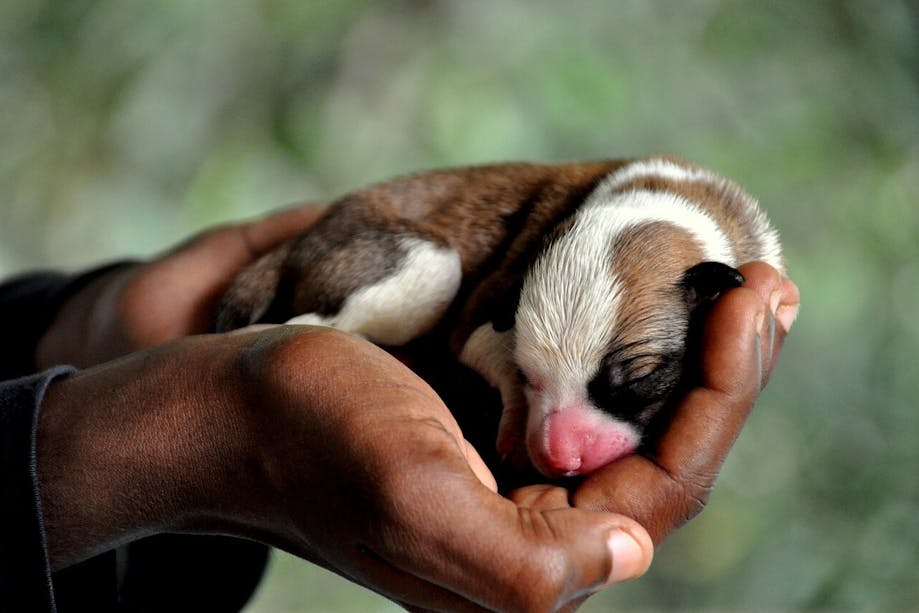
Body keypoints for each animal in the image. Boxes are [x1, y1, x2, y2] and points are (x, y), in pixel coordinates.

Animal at [214, 157, 784, 478]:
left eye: (636, 379)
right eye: (529, 375)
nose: (558, 459)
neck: (668, 201)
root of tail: (301, 241)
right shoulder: (479, 309)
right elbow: (481, 344)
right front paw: (511, 414)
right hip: (417, 265)